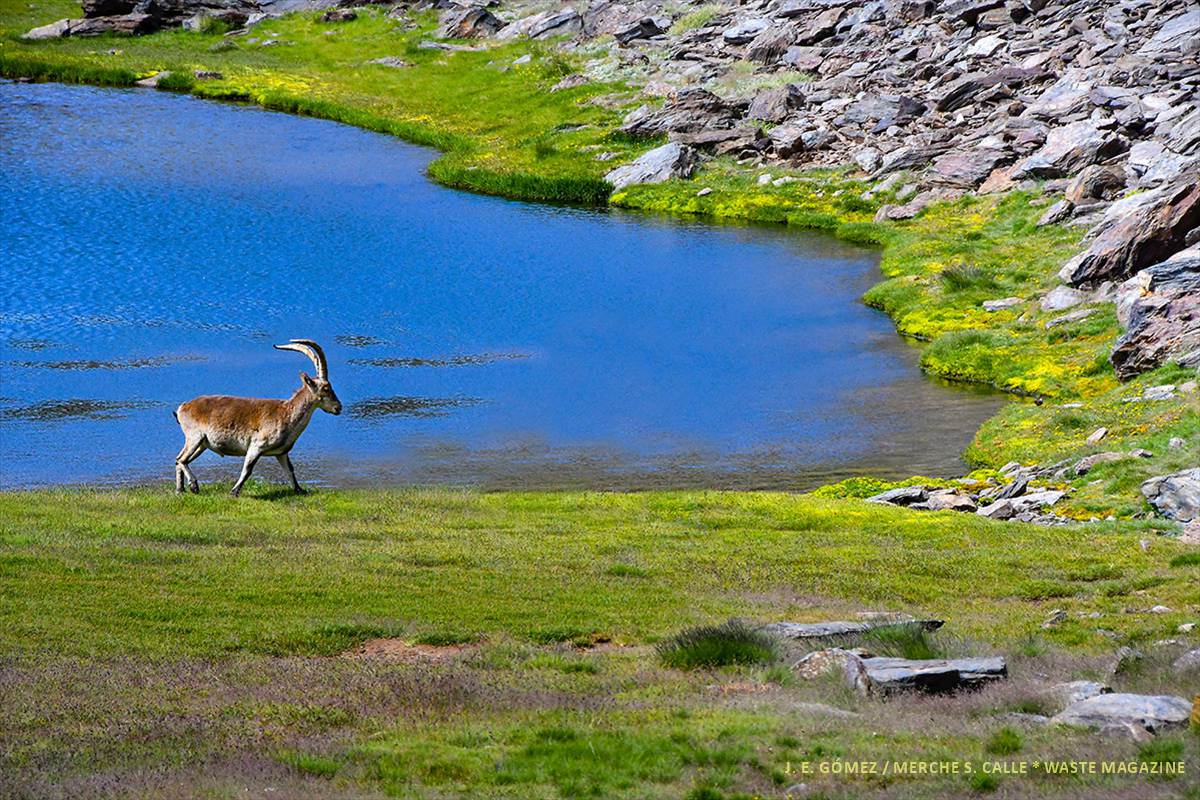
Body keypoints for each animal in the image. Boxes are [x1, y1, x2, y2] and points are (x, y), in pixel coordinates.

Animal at [174, 339, 342, 496]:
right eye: (326, 388)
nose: (338, 407)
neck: (287, 414)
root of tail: (182, 408)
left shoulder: (281, 453)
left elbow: (290, 470)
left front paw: (300, 490)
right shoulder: (256, 446)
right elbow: (247, 470)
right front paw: (234, 491)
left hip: (202, 444)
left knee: (180, 459)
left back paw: (180, 490)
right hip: (194, 436)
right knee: (181, 459)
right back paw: (194, 485)